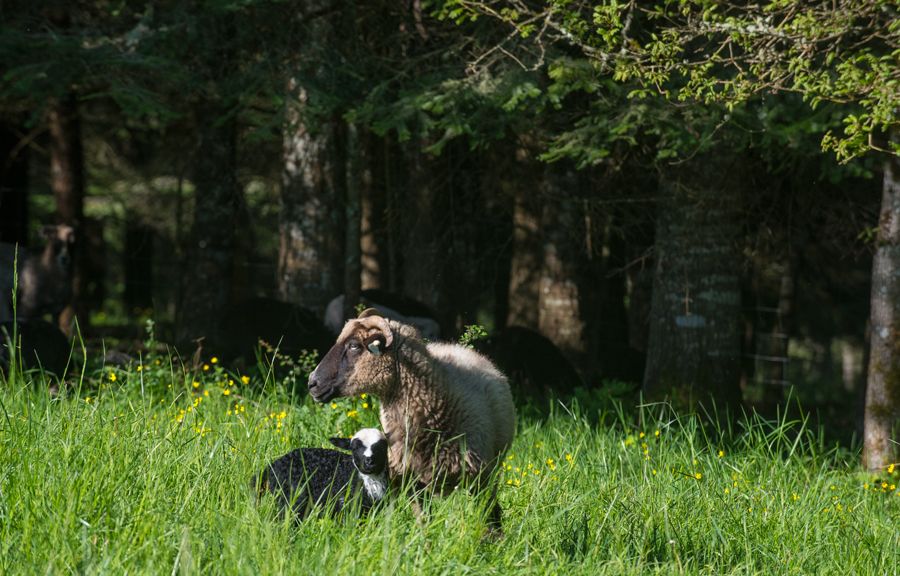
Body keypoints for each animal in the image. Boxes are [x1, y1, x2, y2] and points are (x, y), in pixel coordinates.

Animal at [253, 426, 394, 520]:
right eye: (354, 448)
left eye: (382, 448)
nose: (369, 462)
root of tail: (271, 467)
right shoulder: (344, 501)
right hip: (293, 493)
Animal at [310, 308, 516, 532]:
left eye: (354, 345)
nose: (312, 383)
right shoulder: (411, 480)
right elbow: (423, 521)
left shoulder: (481, 476)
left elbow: (489, 517)